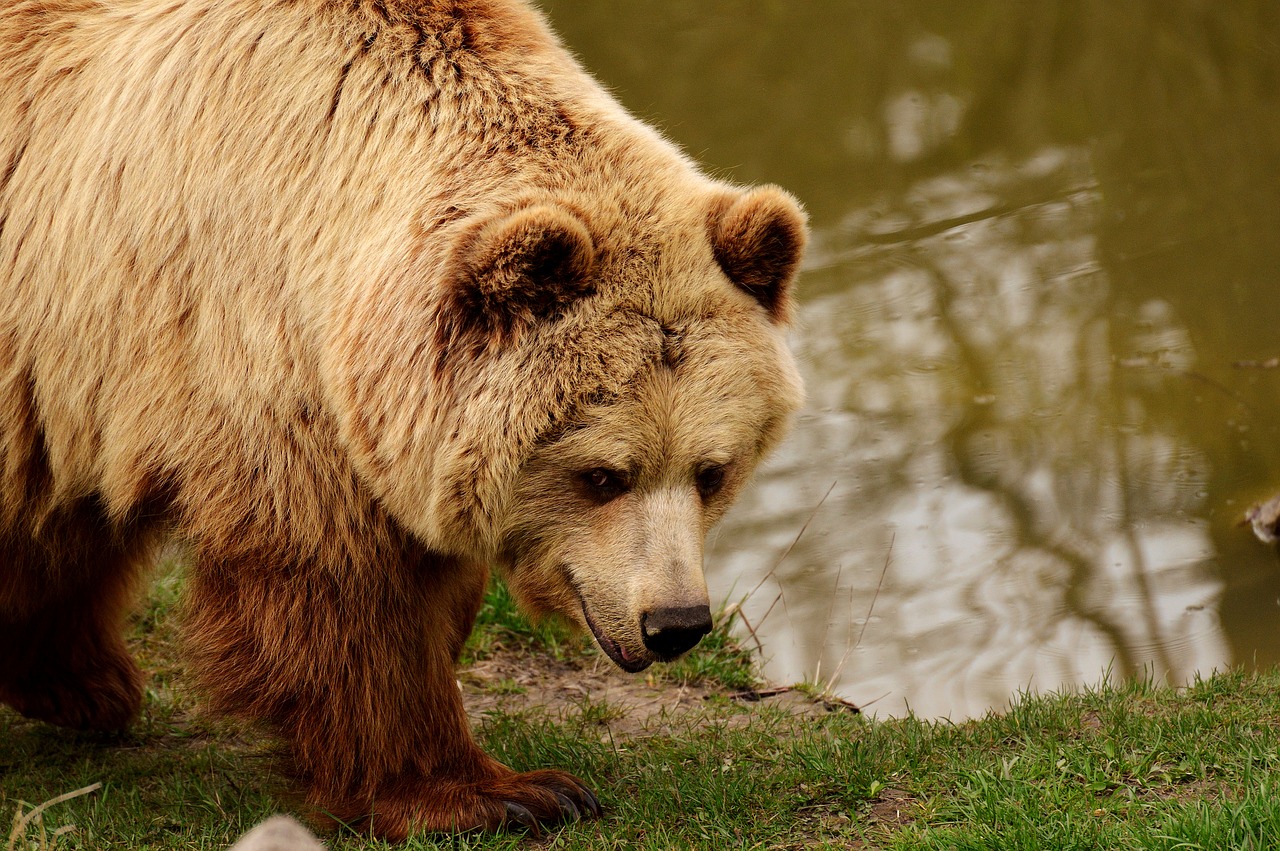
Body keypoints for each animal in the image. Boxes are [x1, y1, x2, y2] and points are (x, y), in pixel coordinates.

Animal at [0, 0, 803, 834]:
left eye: (712, 471)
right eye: (603, 475)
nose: (675, 622)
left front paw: (74, 681)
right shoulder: (249, 357)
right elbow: (346, 593)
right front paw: (503, 790)